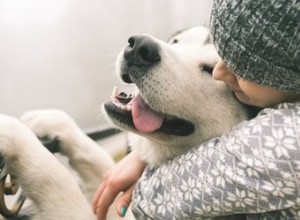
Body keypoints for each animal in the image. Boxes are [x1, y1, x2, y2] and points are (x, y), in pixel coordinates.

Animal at [0, 26, 256, 219]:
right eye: (175, 41)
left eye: (211, 70)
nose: (140, 46)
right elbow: (98, 160)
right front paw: (52, 121)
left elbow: (57, 180)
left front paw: (12, 132)